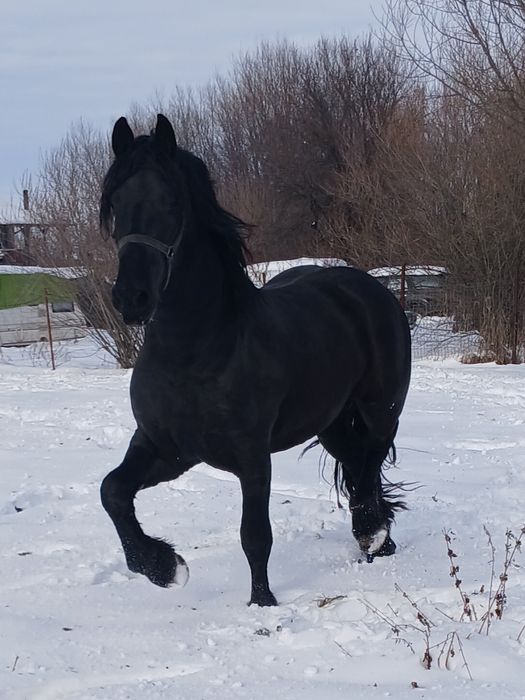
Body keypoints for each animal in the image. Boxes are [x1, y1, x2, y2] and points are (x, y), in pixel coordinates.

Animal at [99, 114, 412, 607]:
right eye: (114, 202)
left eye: (170, 200)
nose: (132, 298)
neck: (196, 352)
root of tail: (368, 288)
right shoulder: (167, 449)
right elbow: (112, 491)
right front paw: (163, 567)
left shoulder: (251, 457)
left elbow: (255, 535)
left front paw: (261, 602)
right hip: (331, 424)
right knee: (359, 468)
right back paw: (378, 541)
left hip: (381, 412)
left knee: (371, 466)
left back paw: (373, 535)